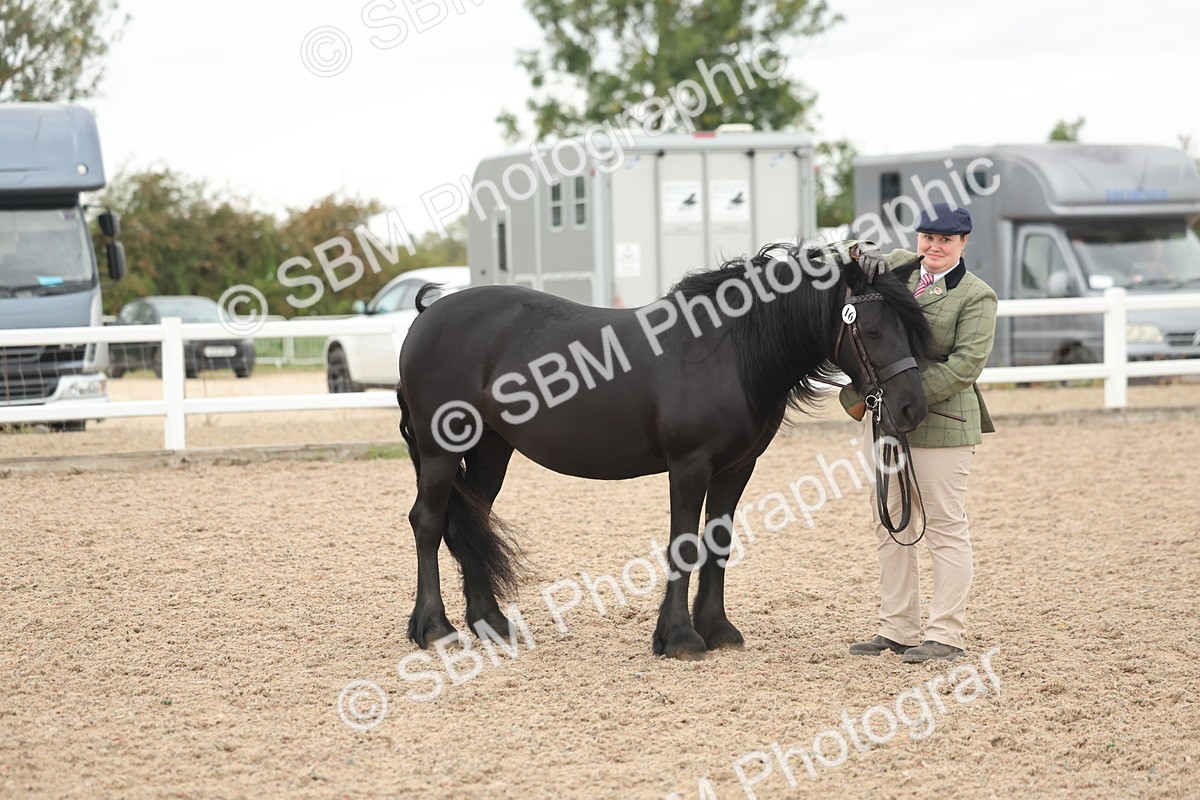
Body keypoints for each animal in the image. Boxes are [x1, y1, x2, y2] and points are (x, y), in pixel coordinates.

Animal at [395, 243, 935, 661]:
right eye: (872, 330)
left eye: (913, 327)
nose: (911, 408)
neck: (727, 352)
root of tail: (427, 315)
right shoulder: (690, 466)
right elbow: (686, 544)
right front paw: (679, 638)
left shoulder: (736, 468)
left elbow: (719, 542)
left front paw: (717, 630)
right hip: (442, 450)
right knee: (428, 521)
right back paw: (434, 628)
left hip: (490, 450)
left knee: (469, 523)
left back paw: (490, 623)